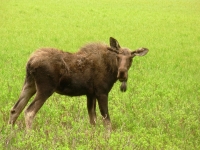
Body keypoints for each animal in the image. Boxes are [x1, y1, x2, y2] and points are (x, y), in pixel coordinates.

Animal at [8, 37, 148, 130]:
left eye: (131, 58)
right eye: (118, 57)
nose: (122, 73)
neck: (111, 68)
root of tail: (30, 62)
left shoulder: (90, 94)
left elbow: (93, 119)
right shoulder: (102, 92)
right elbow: (107, 120)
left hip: (29, 84)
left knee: (15, 110)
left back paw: (10, 135)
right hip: (45, 89)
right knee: (29, 112)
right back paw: (29, 137)